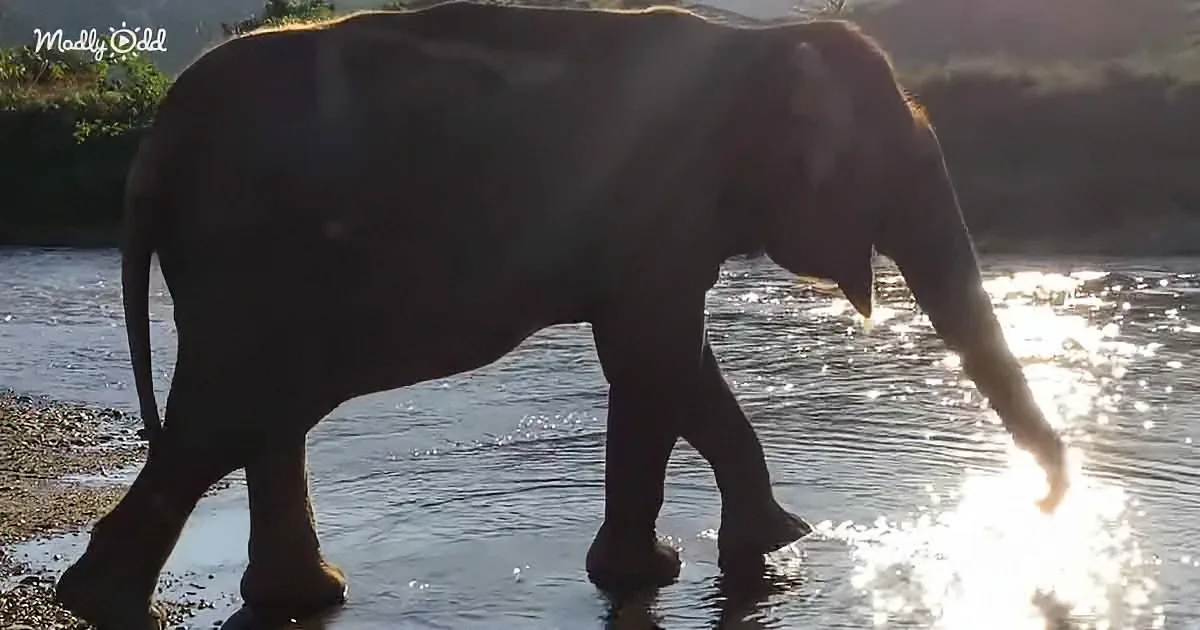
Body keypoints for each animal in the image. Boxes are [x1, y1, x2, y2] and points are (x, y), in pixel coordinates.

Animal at [53, 3, 1070, 628]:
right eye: (900, 169)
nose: (1051, 498)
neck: (756, 43)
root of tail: (152, 151)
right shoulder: (658, 201)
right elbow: (655, 359)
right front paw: (688, 564)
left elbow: (669, 363)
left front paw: (742, 549)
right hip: (249, 262)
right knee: (226, 419)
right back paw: (102, 602)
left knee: (262, 421)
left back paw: (298, 597)